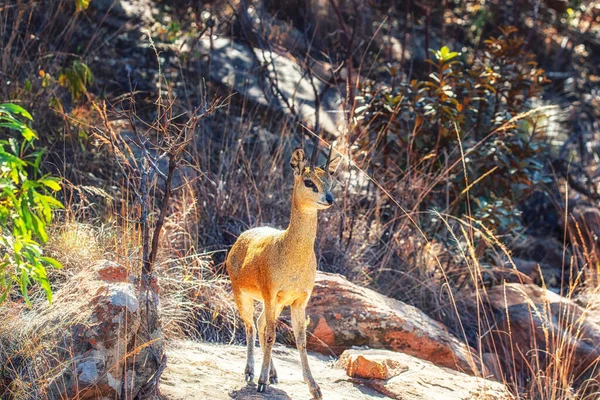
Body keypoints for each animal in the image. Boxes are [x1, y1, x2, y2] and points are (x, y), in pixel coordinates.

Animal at [226, 142, 338, 398]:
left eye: (332, 180)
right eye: (309, 181)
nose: (329, 199)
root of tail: (240, 239)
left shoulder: (299, 300)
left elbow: (300, 340)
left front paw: (315, 388)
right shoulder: (270, 293)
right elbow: (271, 335)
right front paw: (262, 382)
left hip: (276, 304)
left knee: (260, 324)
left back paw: (272, 374)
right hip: (243, 295)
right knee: (251, 326)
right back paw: (251, 372)